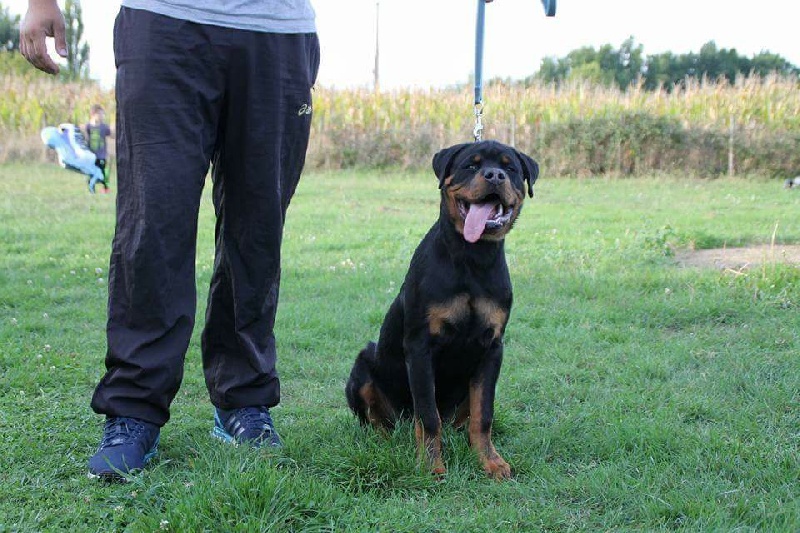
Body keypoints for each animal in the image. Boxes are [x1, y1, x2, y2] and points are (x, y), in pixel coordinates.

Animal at [345, 140, 538, 479]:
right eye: (471, 165)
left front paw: (490, 461)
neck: (473, 257)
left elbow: (484, 415)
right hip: (363, 365)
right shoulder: (420, 346)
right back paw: (384, 439)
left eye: (511, 168)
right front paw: (431, 465)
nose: (494, 175)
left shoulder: (492, 348)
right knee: (377, 419)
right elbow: (427, 414)